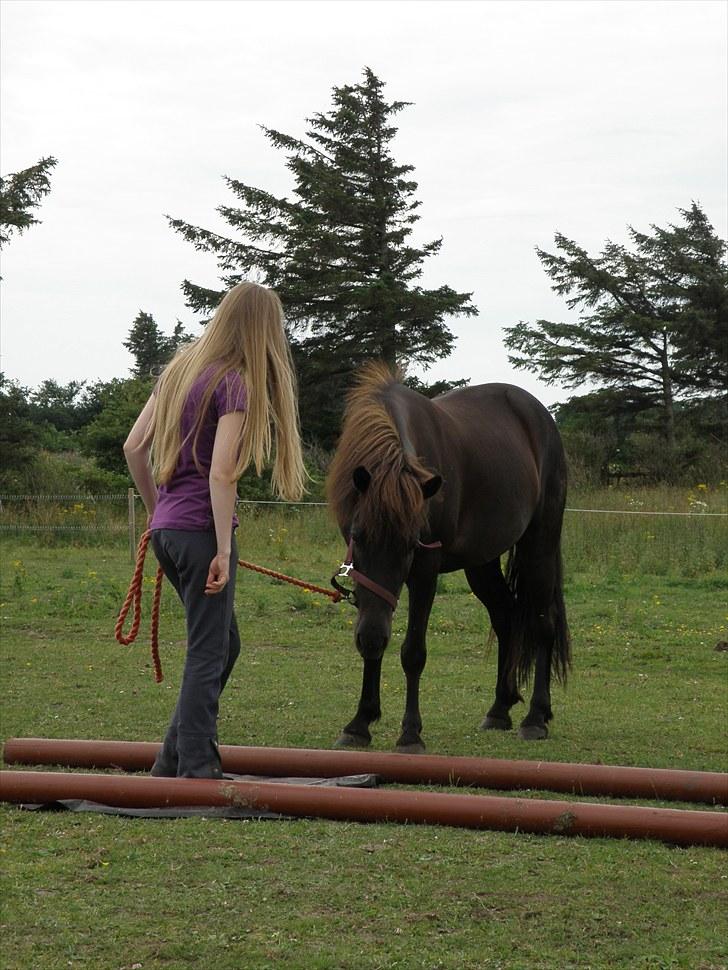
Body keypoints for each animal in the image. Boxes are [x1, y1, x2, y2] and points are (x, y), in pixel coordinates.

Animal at [328, 364, 572, 748]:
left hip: (540, 545)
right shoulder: (365, 582)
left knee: (542, 622)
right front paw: (359, 723)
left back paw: (535, 717)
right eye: (357, 535)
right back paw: (499, 709)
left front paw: (410, 733)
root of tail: (540, 416)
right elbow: (374, 639)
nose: (373, 637)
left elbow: (413, 652)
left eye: (411, 545)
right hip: (482, 563)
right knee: (506, 617)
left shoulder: (425, 573)